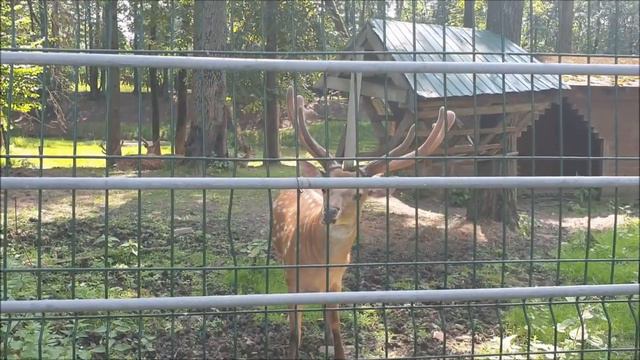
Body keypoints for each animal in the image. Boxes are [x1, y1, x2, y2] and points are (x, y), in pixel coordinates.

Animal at [272, 86, 458, 358]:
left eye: (358, 194)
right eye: (326, 189)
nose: (330, 212)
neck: (317, 264)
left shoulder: (336, 282)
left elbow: (336, 326)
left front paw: (336, 348)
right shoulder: (290, 278)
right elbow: (295, 331)